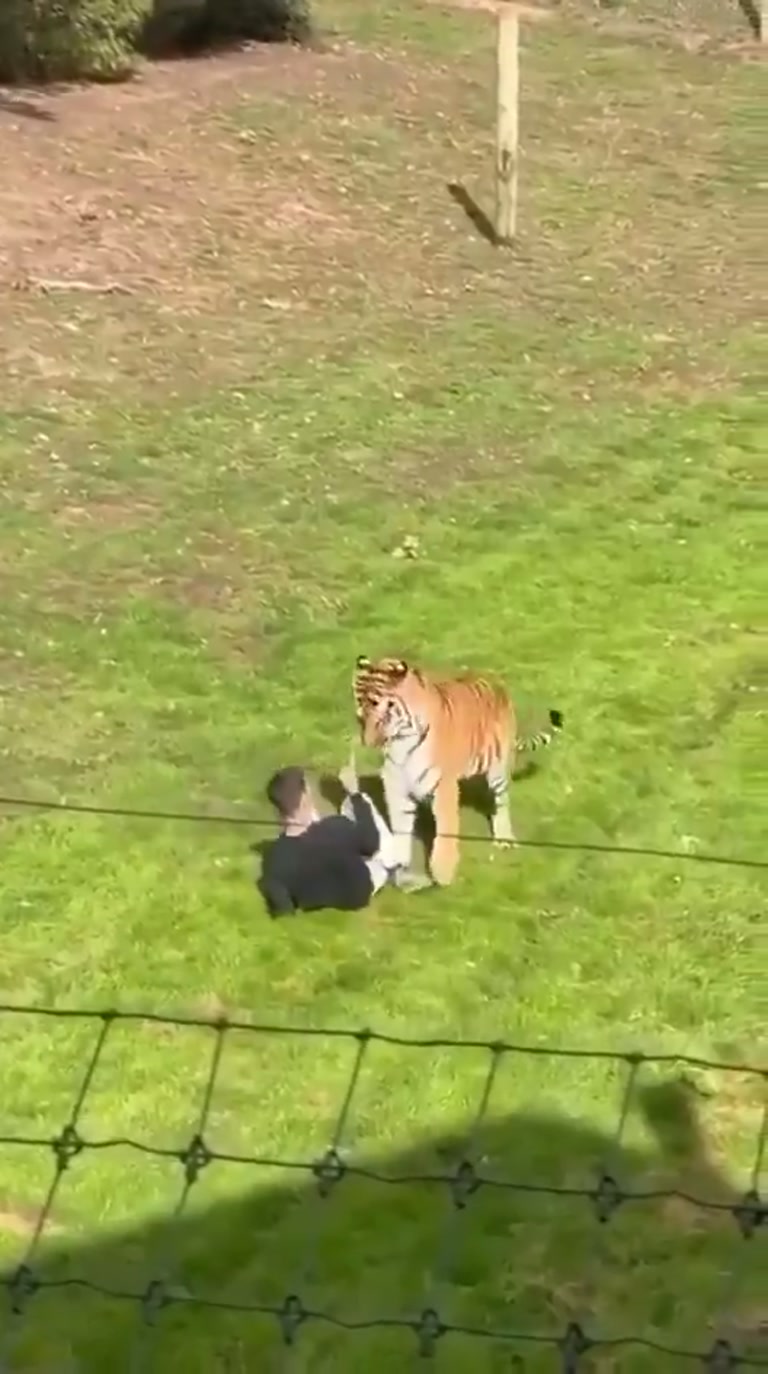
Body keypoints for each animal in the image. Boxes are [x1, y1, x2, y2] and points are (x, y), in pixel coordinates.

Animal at [353, 655, 563, 888]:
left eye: (379, 707)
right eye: (360, 713)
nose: (367, 742)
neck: (401, 743)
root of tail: (497, 681)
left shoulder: (443, 787)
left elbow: (445, 831)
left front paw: (442, 874)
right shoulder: (396, 789)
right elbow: (400, 829)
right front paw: (399, 866)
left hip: (498, 769)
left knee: (501, 803)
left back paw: (504, 839)